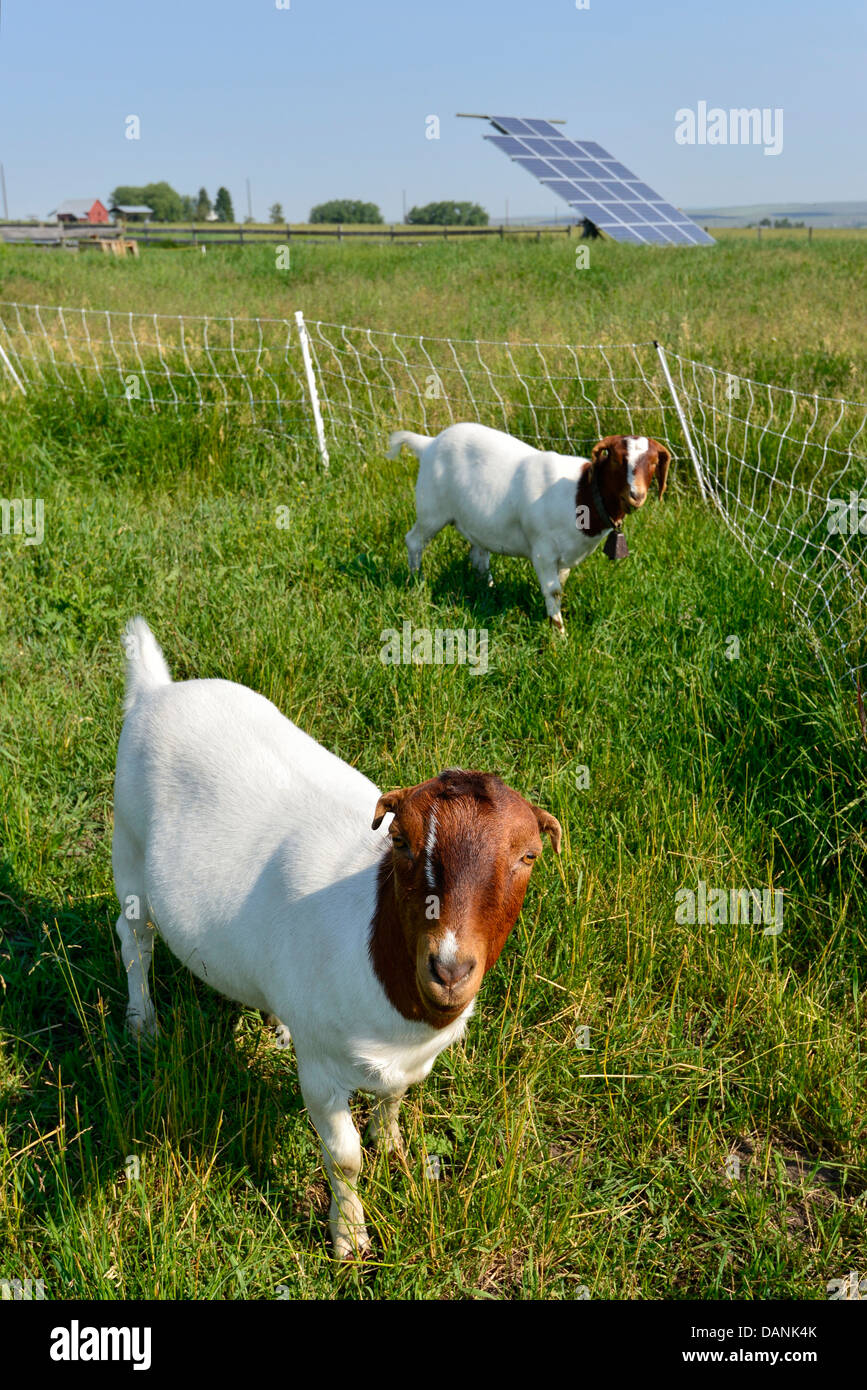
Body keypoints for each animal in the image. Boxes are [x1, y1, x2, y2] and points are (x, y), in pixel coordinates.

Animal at [112, 618, 562, 1259]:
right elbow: (343, 1158)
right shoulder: (323, 1070)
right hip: (127, 842)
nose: (449, 969)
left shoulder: (408, 1059)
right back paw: (142, 1025)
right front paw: (349, 1235)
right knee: (136, 941)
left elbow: (397, 1096)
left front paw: (390, 1142)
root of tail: (156, 689)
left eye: (528, 856)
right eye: (400, 840)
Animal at [388, 423, 670, 634]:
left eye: (654, 462)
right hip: (432, 509)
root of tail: (428, 443)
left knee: (478, 555)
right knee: (414, 541)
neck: (580, 494)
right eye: (617, 459)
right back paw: (417, 582)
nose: (637, 495)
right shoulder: (543, 549)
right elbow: (553, 590)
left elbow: (559, 588)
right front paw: (559, 634)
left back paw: (489, 588)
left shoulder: (564, 556)